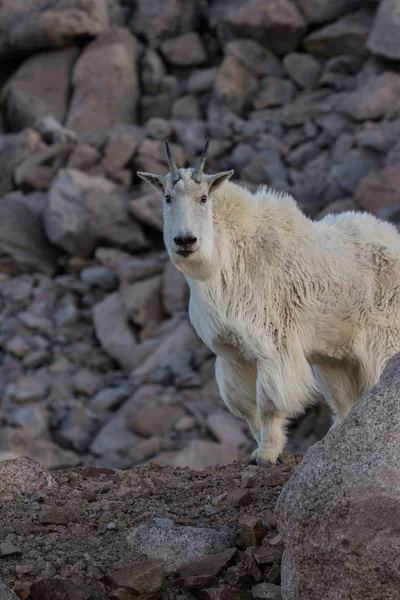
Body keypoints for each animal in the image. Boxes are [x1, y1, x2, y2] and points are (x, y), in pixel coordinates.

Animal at [137, 139, 400, 464]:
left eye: (203, 198)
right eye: (167, 197)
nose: (185, 241)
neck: (223, 261)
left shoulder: (273, 344)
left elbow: (270, 404)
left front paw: (265, 455)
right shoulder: (232, 353)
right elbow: (245, 407)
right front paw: (260, 447)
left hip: (384, 339)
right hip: (336, 358)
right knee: (345, 402)